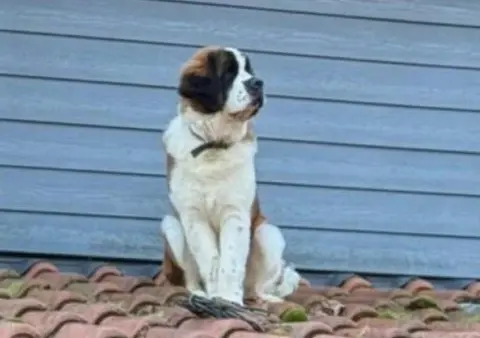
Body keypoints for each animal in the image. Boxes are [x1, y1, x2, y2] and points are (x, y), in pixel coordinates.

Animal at [161, 46, 304, 304]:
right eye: (229, 72)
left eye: (248, 70)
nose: (258, 83)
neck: (214, 145)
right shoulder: (193, 216)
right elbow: (211, 259)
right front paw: (216, 296)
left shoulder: (235, 214)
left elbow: (231, 260)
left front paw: (229, 300)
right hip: (172, 227)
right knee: (190, 278)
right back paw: (200, 293)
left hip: (268, 233)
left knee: (256, 287)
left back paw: (265, 298)